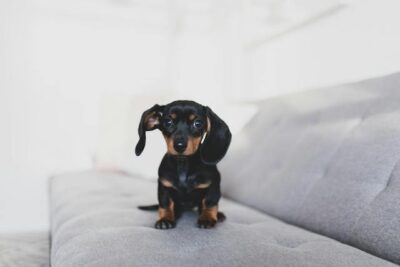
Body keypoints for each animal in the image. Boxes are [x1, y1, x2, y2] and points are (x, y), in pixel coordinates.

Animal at [137, 100, 233, 230]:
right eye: (168, 122)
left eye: (197, 123)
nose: (180, 146)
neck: (183, 164)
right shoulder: (164, 186)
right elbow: (165, 203)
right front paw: (165, 219)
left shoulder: (213, 185)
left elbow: (209, 202)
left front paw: (207, 218)